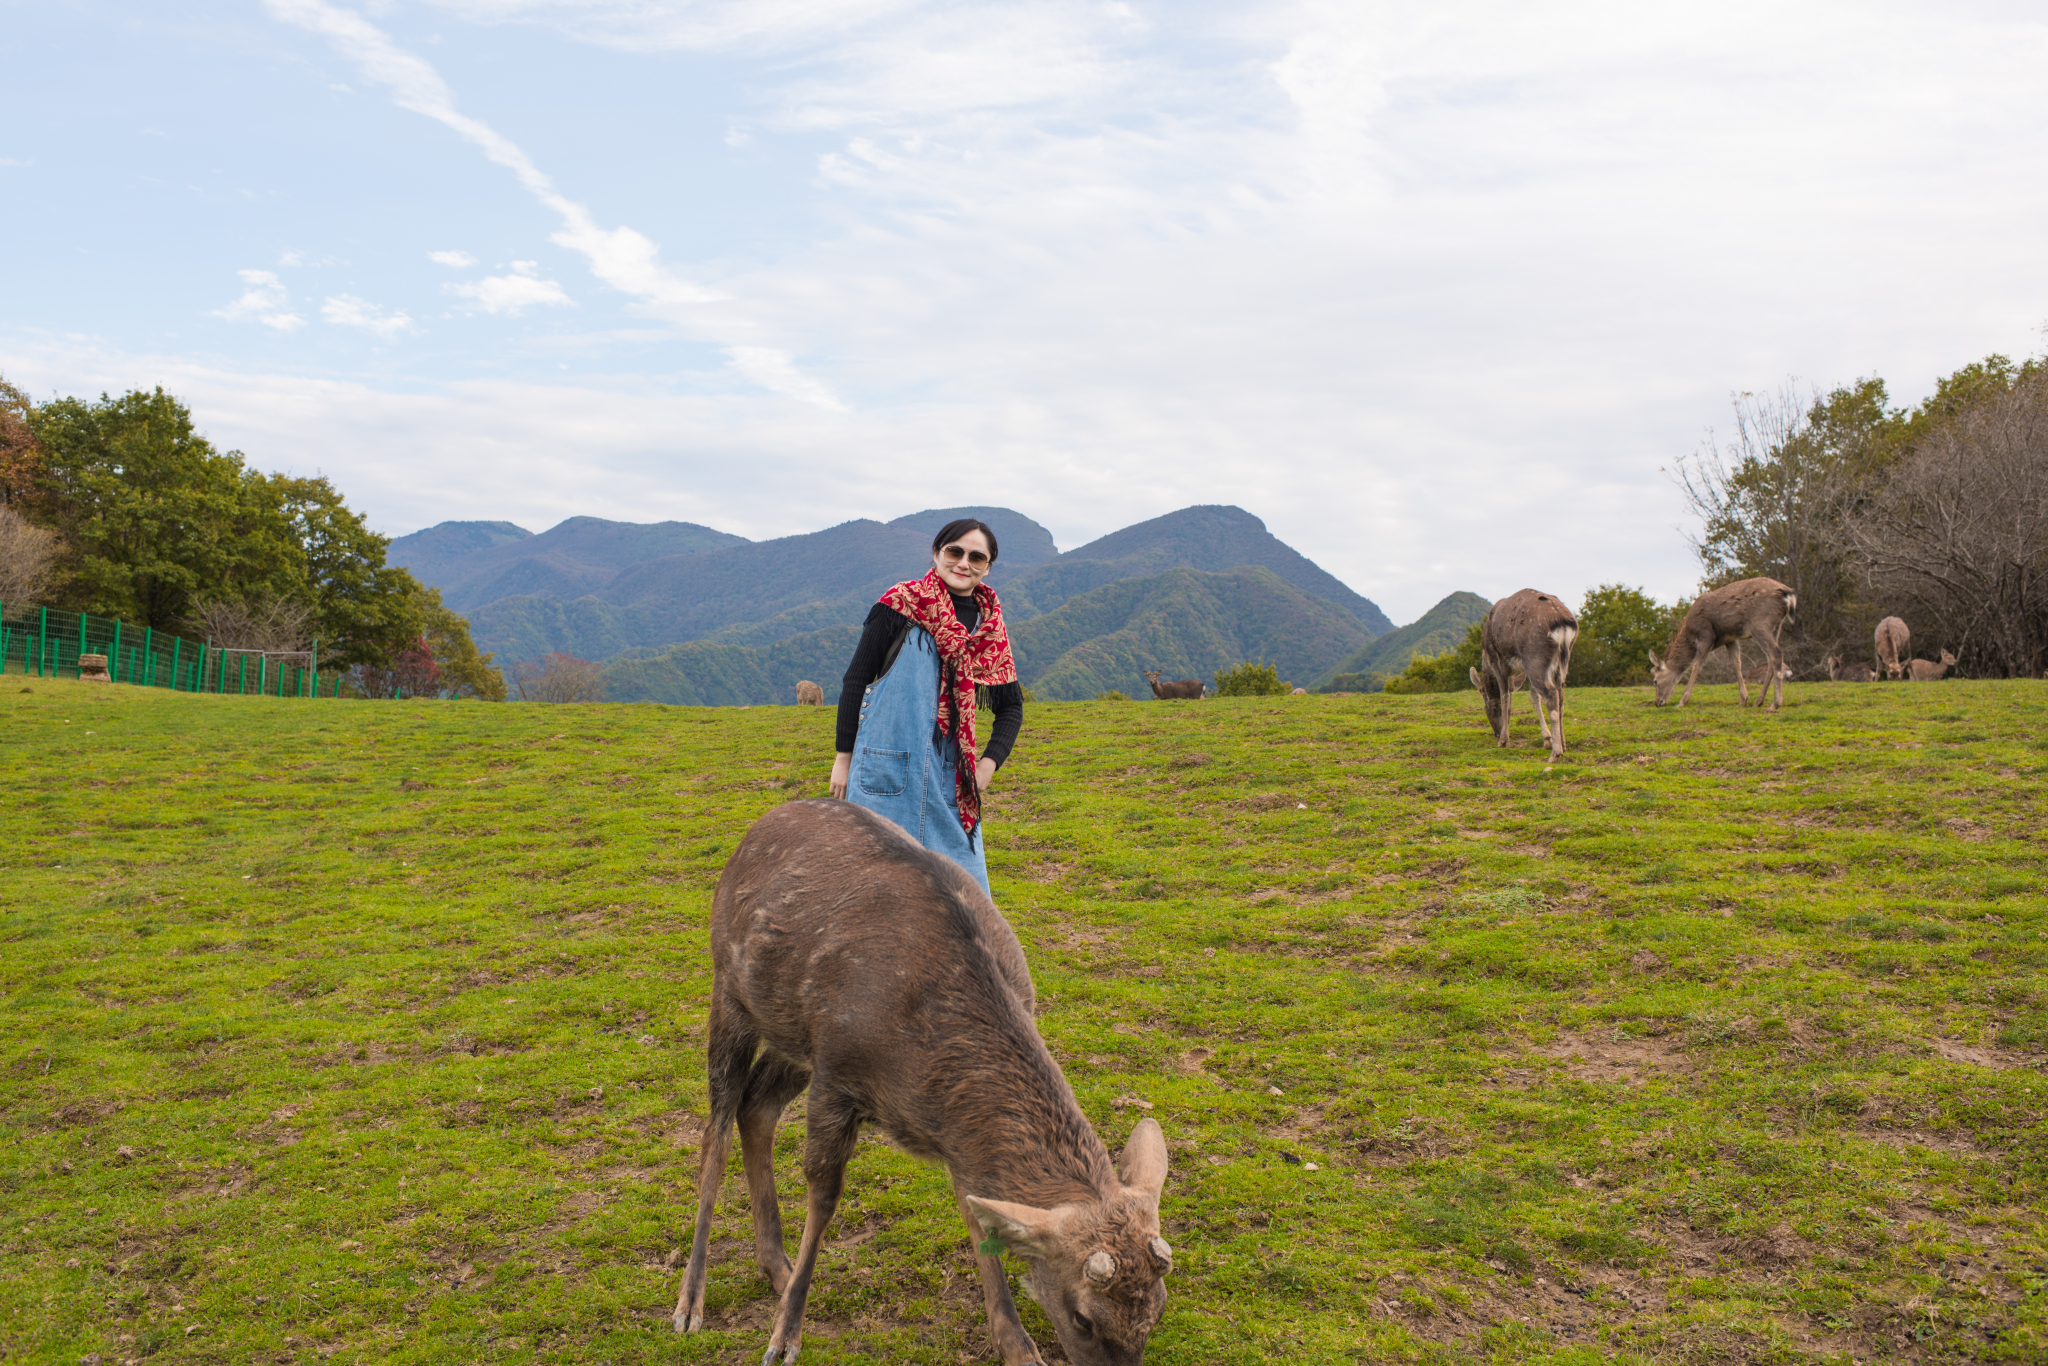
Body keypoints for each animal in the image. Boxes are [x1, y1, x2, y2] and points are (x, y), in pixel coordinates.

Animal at [679, 802, 1179, 1366]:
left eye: (1157, 1309)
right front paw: (785, 1336)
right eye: (1083, 1317)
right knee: (716, 1129)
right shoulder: (837, 1072)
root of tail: (756, 829)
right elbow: (824, 1194)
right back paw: (690, 1302)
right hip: (729, 990)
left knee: (756, 1106)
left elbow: (978, 1219)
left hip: (791, 1035)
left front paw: (1016, 1345)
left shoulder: (960, 1137)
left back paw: (775, 1267)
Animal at [1466, 585, 1572, 765]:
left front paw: (1503, 740)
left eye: (1486, 704)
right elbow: (1532, 697)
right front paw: (1547, 739)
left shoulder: (1497, 661)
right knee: (1561, 695)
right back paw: (1563, 743)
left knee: (1551, 694)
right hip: (1561, 662)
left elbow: (1505, 697)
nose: (1496, 732)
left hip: (1534, 656)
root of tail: (1564, 622)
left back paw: (1555, 753)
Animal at [1646, 577, 1794, 712]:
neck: (1689, 631)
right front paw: (1743, 700)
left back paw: (1775, 704)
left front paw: (1682, 701)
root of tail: (1788, 593)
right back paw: (1759, 701)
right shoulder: (1730, 638)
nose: (1657, 702)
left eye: (1655, 681)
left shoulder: (1705, 634)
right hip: (1776, 627)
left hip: (1760, 625)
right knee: (1770, 659)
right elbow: (1736, 664)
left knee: (1776, 654)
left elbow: (1696, 665)